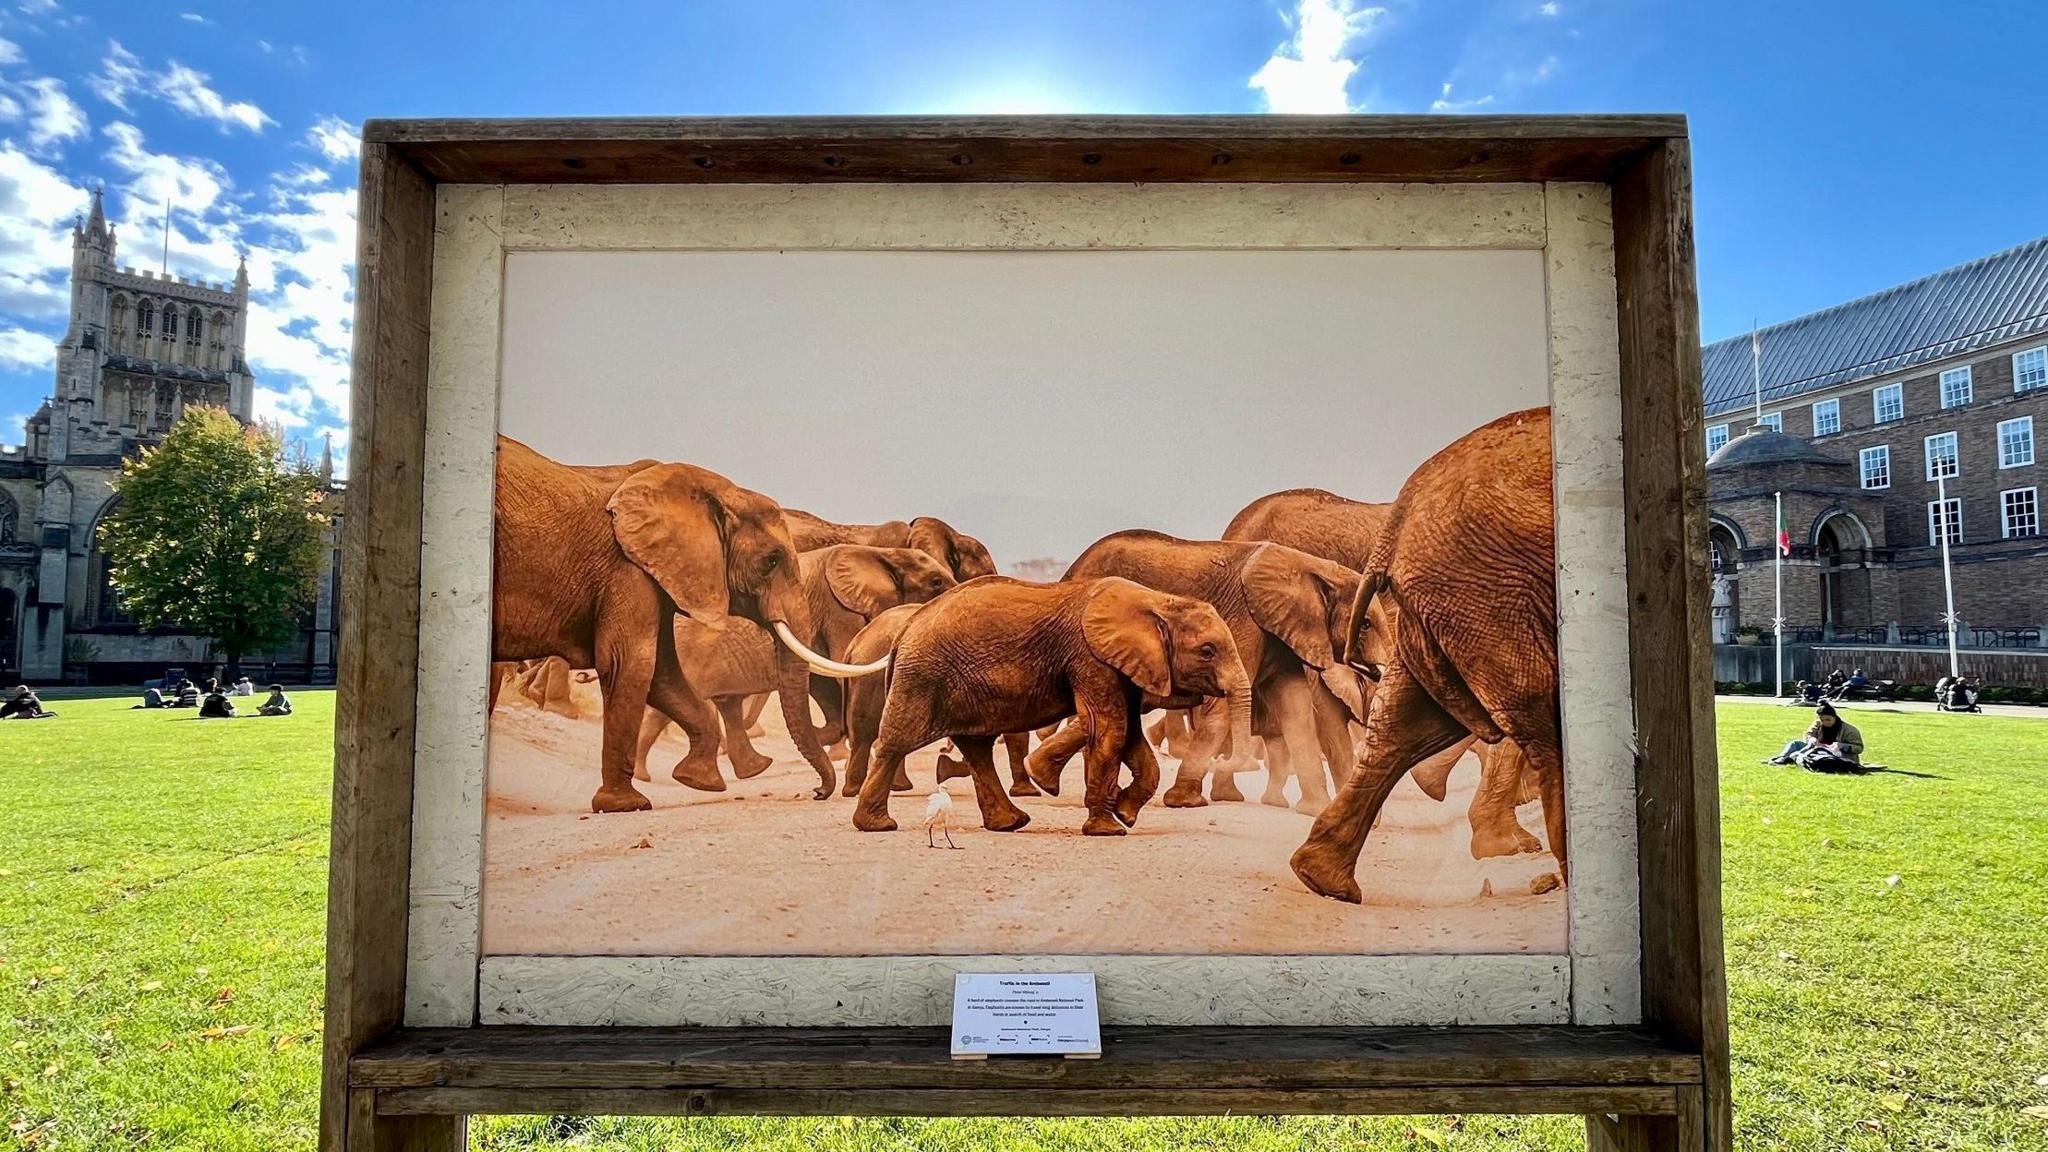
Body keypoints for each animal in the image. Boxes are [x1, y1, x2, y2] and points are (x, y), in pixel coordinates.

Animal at [495, 434, 888, 811]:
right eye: (771, 561)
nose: (818, 792)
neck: (714, 493)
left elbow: (663, 674)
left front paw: (699, 781)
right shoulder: (627, 570)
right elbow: (632, 664)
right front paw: (626, 805)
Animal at [630, 541, 958, 774]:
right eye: (936, 583)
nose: (944, 751)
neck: (882, 553)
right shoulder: (838, 610)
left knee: (726, 704)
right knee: (668, 711)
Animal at [847, 573, 1245, 832]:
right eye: (1207, 651)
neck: (1157, 600)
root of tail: (905, 630)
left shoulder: (1123, 665)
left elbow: (1129, 734)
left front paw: (1125, 814)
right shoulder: (1090, 657)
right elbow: (1110, 730)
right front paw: (1108, 829)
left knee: (976, 749)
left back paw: (1011, 823)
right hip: (922, 677)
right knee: (896, 743)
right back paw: (877, 825)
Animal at [1048, 528, 1368, 807]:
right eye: (1365, 624)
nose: (1223, 762)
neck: (1306, 564)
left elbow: (1295, 709)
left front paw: (1315, 809)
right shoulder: (1246, 622)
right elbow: (1222, 707)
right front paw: (1185, 802)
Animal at [1294, 407, 1564, 901]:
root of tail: (1394, 525)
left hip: (1454, 596)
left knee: (1409, 717)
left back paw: (1324, 881)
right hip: (1484, 590)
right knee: (1540, 708)